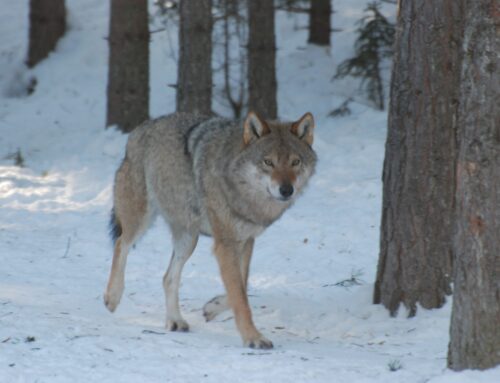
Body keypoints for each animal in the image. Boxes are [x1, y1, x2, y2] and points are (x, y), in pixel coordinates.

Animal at [103, 111, 318, 352]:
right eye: (268, 162)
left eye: (295, 162)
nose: (286, 190)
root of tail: (140, 129)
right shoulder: (225, 245)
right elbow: (240, 297)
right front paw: (253, 337)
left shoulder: (245, 241)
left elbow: (242, 286)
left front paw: (212, 307)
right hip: (141, 219)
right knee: (121, 243)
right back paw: (112, 297)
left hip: (189, 239)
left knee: (168, 277)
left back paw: (175, 320)